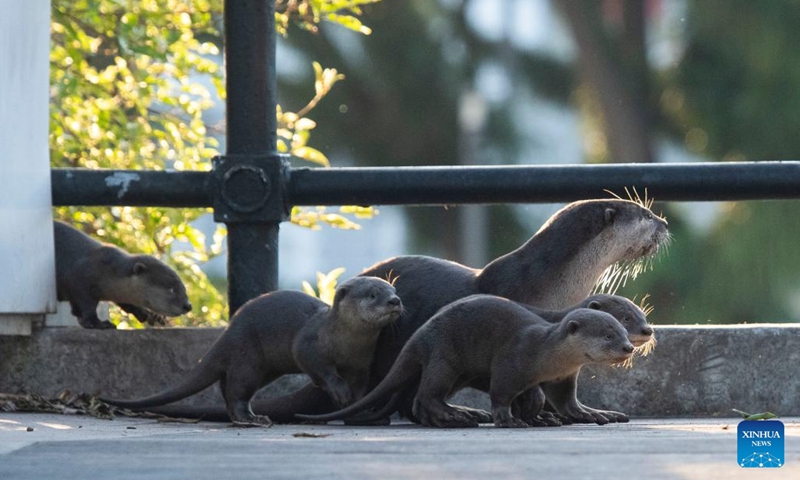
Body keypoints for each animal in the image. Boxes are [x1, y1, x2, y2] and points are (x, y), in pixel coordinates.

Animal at [53, 221, 192, 330]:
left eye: (184, 288)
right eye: (172, 290)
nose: (188, 305)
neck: (106, 270)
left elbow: (126, 303)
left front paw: (149, 314)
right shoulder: (78, 278)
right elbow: (85, 304)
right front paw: (97, 323)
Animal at [101, 278, 400, 428]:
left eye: (393, 289)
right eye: (373, 294)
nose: (395, 300)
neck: (345, 342)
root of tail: (229, 331)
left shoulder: (360, 365)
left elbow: (361, 390)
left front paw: (359, 412)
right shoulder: (309, 343)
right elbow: (317, 366)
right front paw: (338, 391)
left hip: (263, 368)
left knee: (227, 384)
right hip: (249, 357)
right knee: (237, 388)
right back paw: (250, 419)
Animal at [296, 298, 636, 430]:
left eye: (622, 330)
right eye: (608, 335)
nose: (629, 347)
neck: (545, 354)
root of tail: (419, 335)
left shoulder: (561, 378)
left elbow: (563, 402)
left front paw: (591, 414)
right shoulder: (511, 362)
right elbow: (502, 393)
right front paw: (508, 419)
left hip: (457, 371)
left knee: (421, 401)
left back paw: (463, 414)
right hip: (444, 360)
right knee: (426, 396)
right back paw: (456, 416)